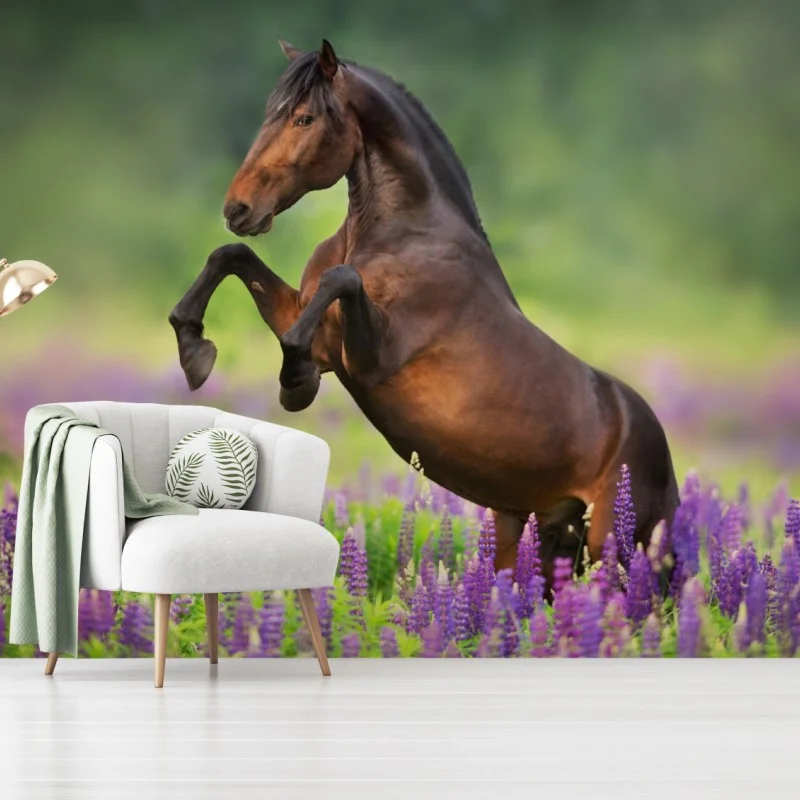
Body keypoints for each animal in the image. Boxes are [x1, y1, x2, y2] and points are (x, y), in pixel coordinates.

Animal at [169, 39, 679, 583]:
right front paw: (195, 351)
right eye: (271, 113)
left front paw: (294, 380)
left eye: (304, 118)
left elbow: (340, 280)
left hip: (614, 547)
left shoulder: (369, 358)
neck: (406, 231)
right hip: (534, 534)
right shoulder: (313, 326)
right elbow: (231, 256)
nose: (237, 209)